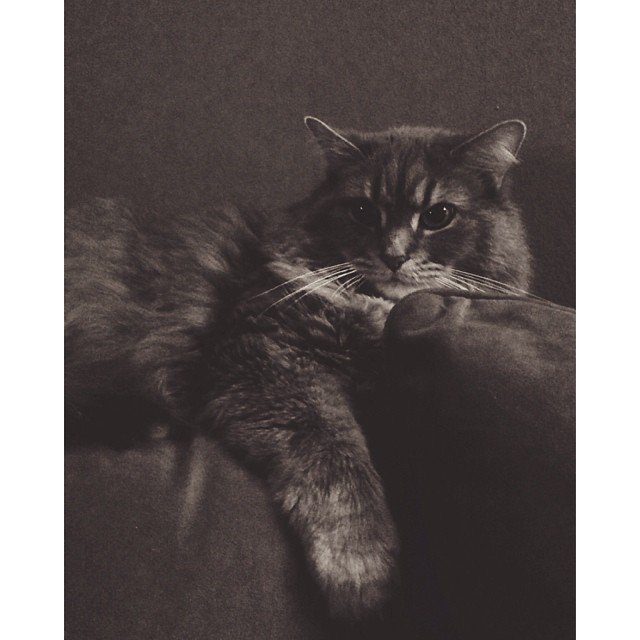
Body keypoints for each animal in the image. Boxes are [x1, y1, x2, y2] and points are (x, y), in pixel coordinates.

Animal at [65, 117, 532, 616]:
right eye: (363, 210)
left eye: (438, 215)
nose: (393, 256)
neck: (379, 313)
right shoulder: (267, 360)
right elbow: (339, 462)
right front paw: (361, 570)